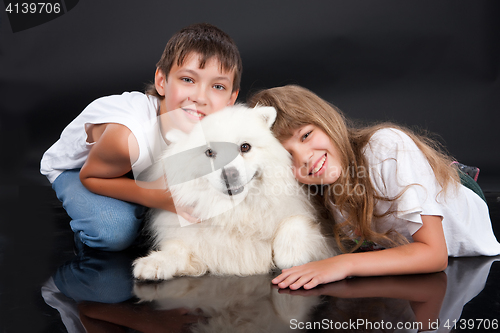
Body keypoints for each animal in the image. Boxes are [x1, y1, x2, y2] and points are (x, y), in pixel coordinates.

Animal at [134, 104, 336, 280]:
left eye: (245, 147)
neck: (237, 215)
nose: (229, 174)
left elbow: (295, 221)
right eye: (209, 152)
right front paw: (153, 263)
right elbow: (177, 251)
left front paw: (290, 254)